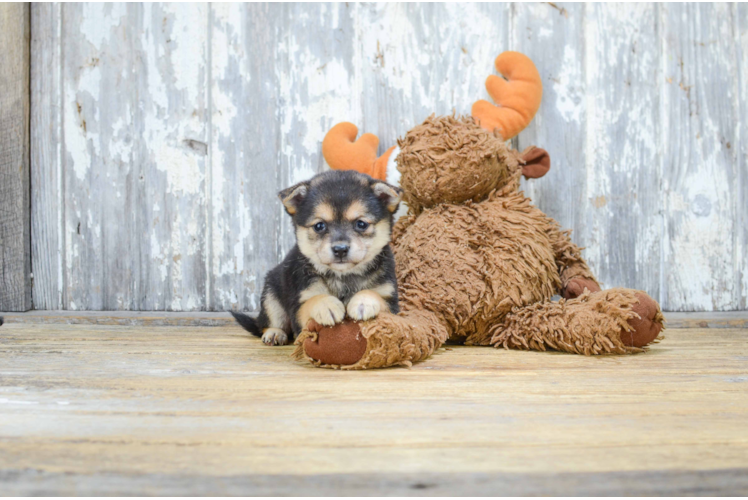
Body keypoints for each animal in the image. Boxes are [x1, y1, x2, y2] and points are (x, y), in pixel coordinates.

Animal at [231, 170, 404, 346]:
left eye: (361, 224)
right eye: (319, 226)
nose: (340, 249)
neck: (343, 277)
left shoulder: (391, 303)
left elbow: (374, 295)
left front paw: (363, 302)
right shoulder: (299, 306)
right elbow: (313, 300)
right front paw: (326, 305)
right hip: (271, 293)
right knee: (270, 322)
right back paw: (274, 333)